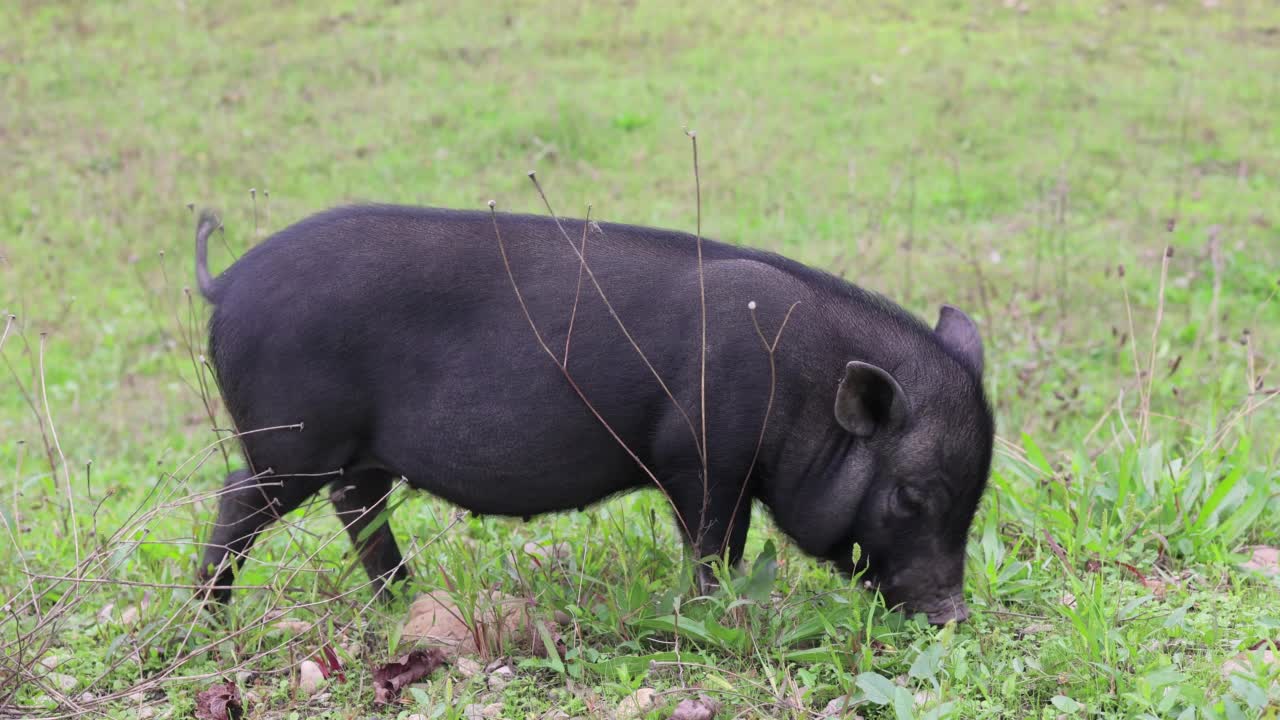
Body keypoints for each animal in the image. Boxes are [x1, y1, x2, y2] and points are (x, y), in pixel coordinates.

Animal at [189, 202, 993, 622]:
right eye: (911, 496)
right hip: (288, 442)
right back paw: (211, 616)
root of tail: (226, 283)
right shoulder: (700, 459)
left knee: (359, 512)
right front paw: (713, 614)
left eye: (973, 501)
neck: (799, 384)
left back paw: (404, 604)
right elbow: (714, 546)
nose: (954, 614)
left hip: (353, 458)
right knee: (238, 498)